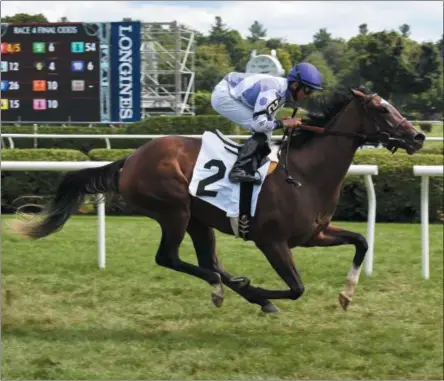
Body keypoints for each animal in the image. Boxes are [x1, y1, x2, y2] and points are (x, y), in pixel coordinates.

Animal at [13, 87, 424, 314]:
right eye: (383, 109)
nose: (418, 135)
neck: (305, 174)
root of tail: (130, 159)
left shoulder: (314, 234)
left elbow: (362, 241)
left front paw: (346, 294)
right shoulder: (271, 241)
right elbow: (296, 288)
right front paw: (259, 290)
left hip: (199, 219)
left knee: (209, 261)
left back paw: (237, 289)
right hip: (174, 210)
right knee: (171, 259)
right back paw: (229, 288)